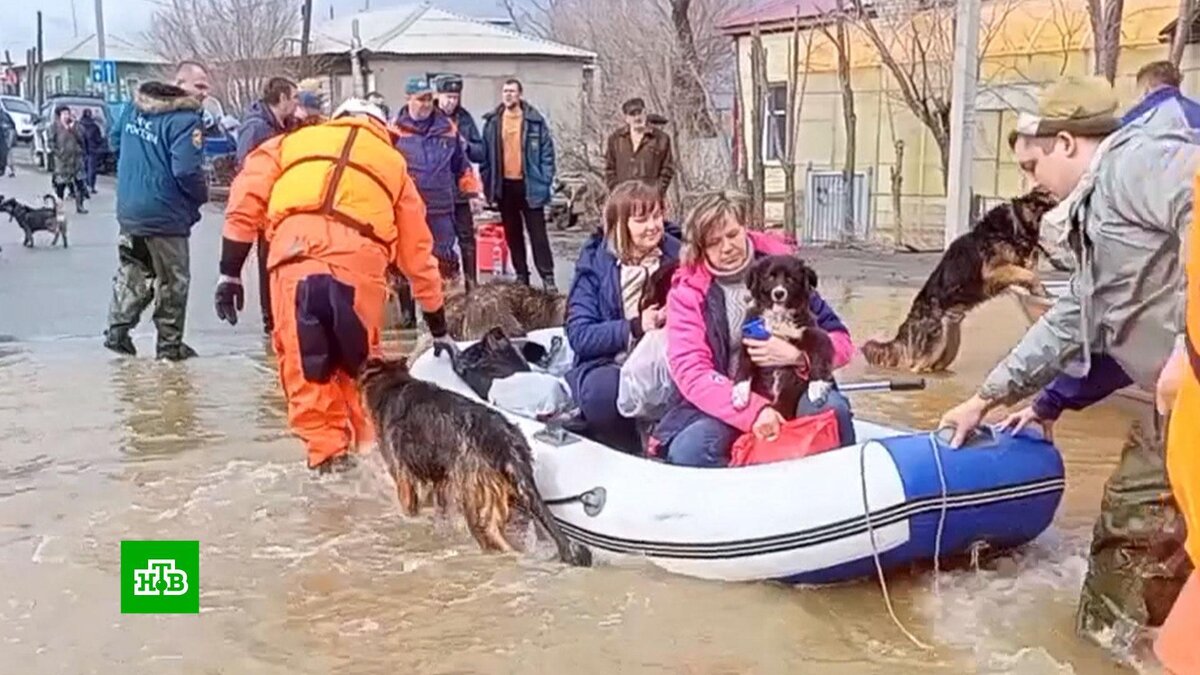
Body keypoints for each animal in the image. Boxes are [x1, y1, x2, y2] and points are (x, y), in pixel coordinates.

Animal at [360, 355, 595, 564]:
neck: (392, 384)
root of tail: (505, 444)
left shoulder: (402, 477)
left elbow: (410, 507)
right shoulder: (440, 481)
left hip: (477, 503)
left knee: (495, 540)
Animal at [729, 254, 835, 417]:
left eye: (791, 279)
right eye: (770, 277)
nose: (779, 293)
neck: (779, 318)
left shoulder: (813, 333)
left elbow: (819, 354)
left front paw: (817, 387)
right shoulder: (750, 340)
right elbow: (743, 366)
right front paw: (739, 395)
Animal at [859, 186, 1056, 369]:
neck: (1016, 223)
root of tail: (910, 320)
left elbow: (1027, 270)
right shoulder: (993, 270)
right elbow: (1028, 274)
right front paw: (1040, 290)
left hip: (947, 348)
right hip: (932, 348)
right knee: (914, 366)